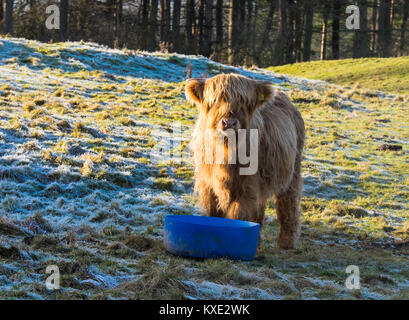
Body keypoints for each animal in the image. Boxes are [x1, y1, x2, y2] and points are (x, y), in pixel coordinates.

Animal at [185, 74, 302, 249]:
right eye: (215, 100)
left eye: (244, 102)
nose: (229, 123)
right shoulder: (209, 185)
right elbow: (214, 214)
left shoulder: (247, 187)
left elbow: (238, 216)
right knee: (260, 208)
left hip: (293, 170)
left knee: (288, 203)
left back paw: (286, 242)